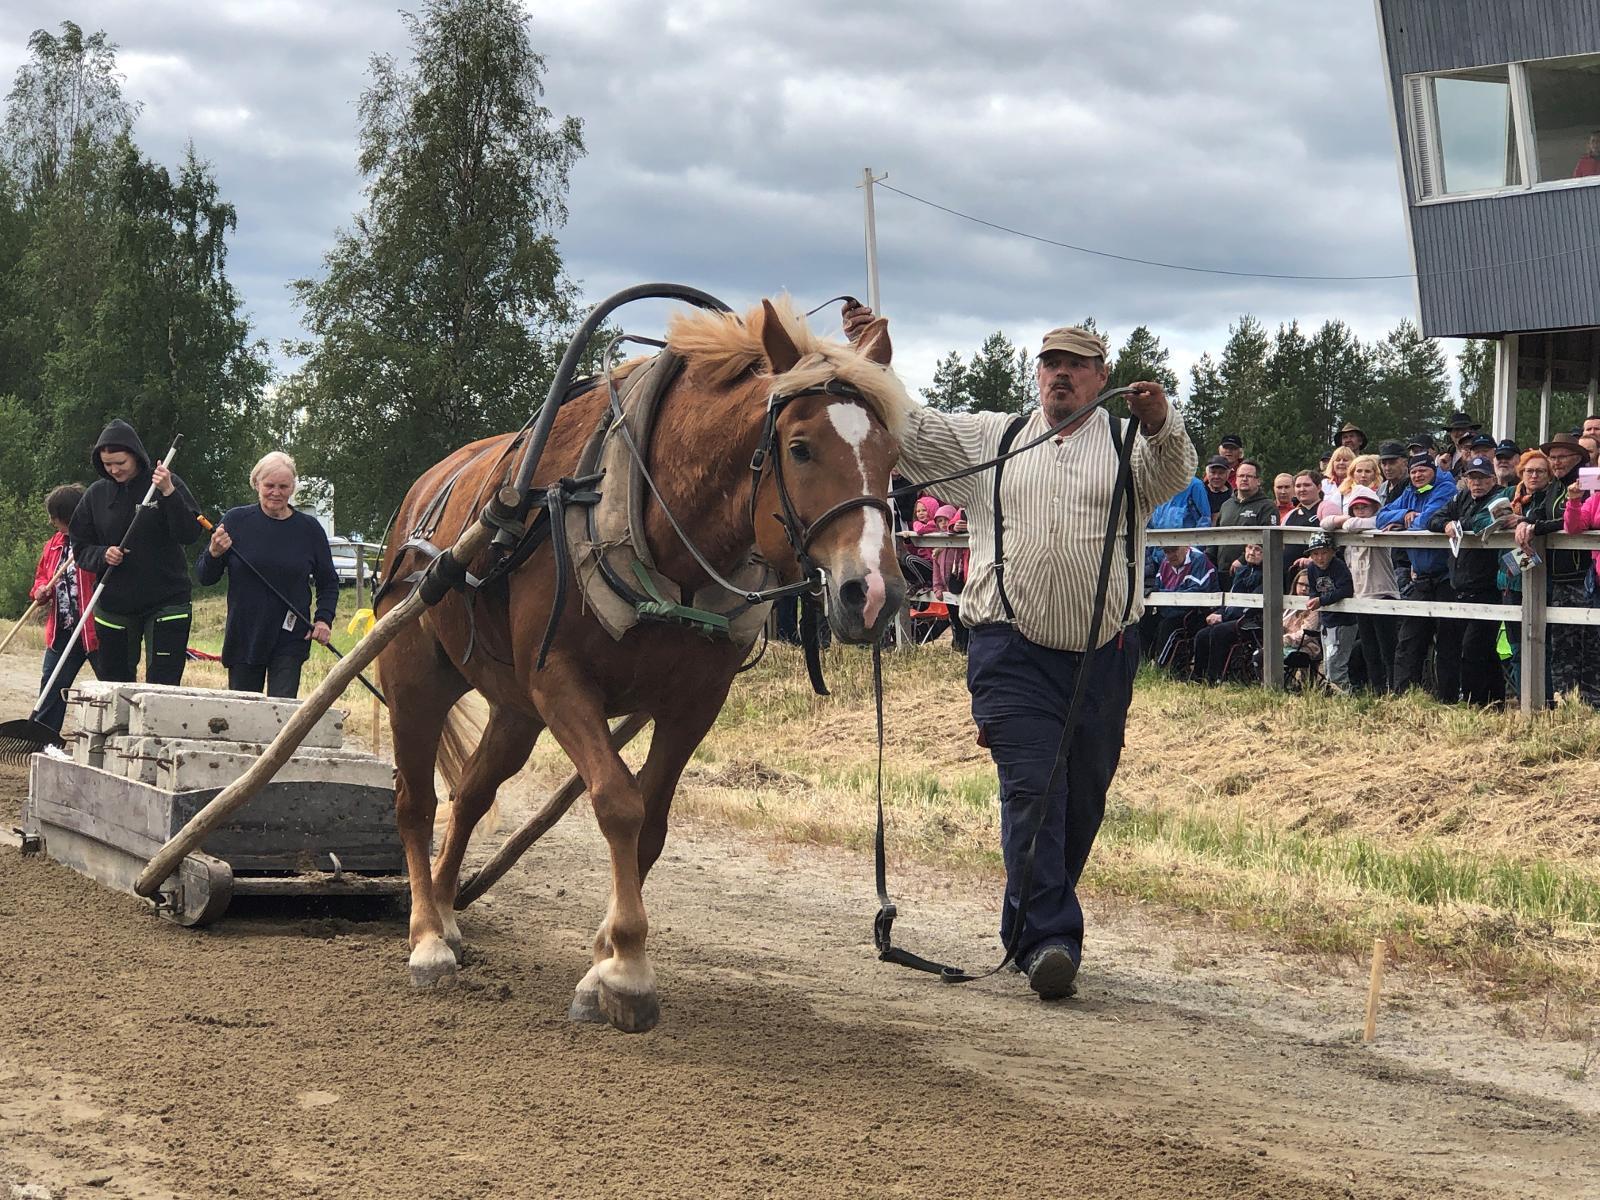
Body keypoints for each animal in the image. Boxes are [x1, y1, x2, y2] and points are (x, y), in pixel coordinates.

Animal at [368, 299, 908, 1036]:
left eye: (892, 457)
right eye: (800, 448)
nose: (872, 593)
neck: (656, 525)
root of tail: (421, 494)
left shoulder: (695, 702)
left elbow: (650, 824)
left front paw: (602, 963)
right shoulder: (561, 683)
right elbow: (618, 803)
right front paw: (625, 969)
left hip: (513, 709)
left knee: (472, 793)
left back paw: (450, 912)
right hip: (416, 678)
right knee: (415, 802)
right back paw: (426, 935)